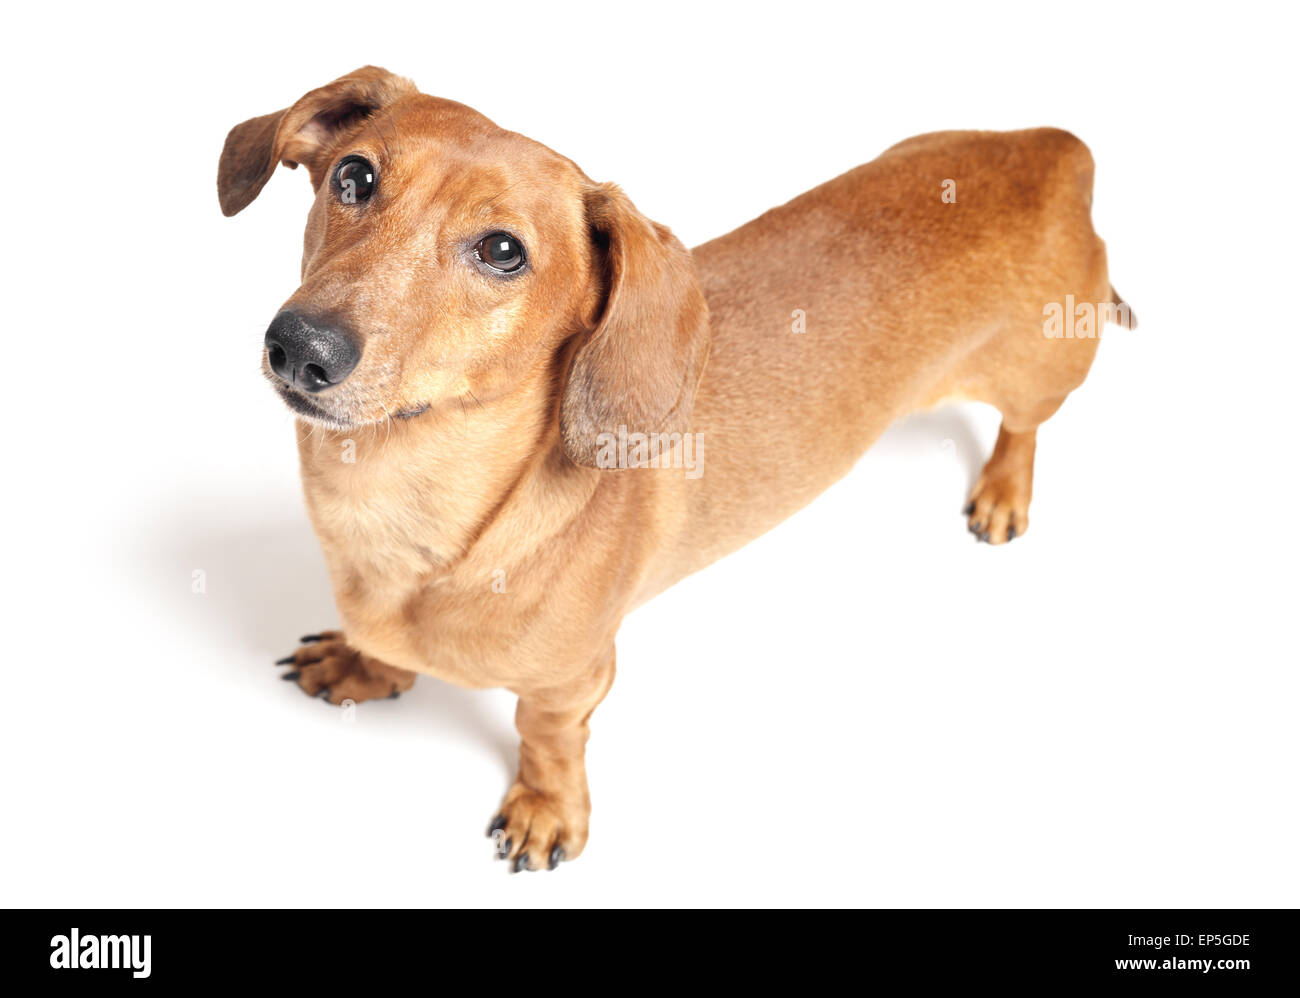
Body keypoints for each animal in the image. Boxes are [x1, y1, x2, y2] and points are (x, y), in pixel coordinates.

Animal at [218, 66, 1133, 868]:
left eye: (503, 249)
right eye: (355, 176)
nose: (300, 346)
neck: (401, 507)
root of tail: (1052, 150)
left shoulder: (574, 681)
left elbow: (546, 740)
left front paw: (547, 809)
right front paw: (367, 663)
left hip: (1044, 368)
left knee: (1026, 426)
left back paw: (1004, 489)